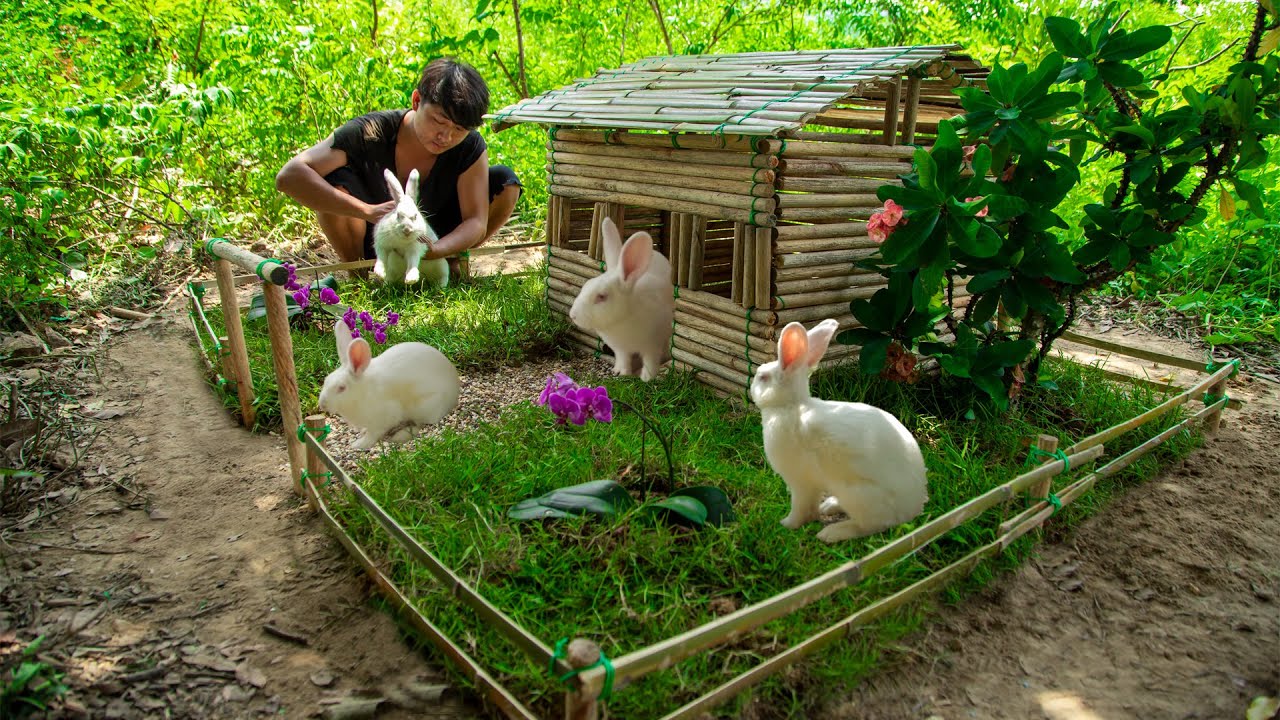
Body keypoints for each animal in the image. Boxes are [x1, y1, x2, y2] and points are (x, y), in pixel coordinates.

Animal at [317, 319, 460, 449]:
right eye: (326, 380)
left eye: (342, 388)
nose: (322, 405)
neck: (362, 392)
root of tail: (454, 396)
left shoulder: (382, 419)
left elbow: (373, 434)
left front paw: (359, 444)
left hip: (425, 407)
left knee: (420, 425)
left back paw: (399, 435)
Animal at [568, 217, 674, 382]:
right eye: (586, 285)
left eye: (602, 296)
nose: (572, 315)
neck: (622, 319)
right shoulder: (620, 349)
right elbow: (624, 359)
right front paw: (620, 372)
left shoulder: (652, 346)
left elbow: (650, 361)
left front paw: (647, 378)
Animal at [750, 318, 928, 543]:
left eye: (763, 377)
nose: (751, 385)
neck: (791, 406)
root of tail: (914, 506)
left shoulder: (801, 482)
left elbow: (801, 508)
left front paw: (787, 524)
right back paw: (829, 506)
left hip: (858, 494)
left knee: (872, 525)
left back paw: (832, 532)